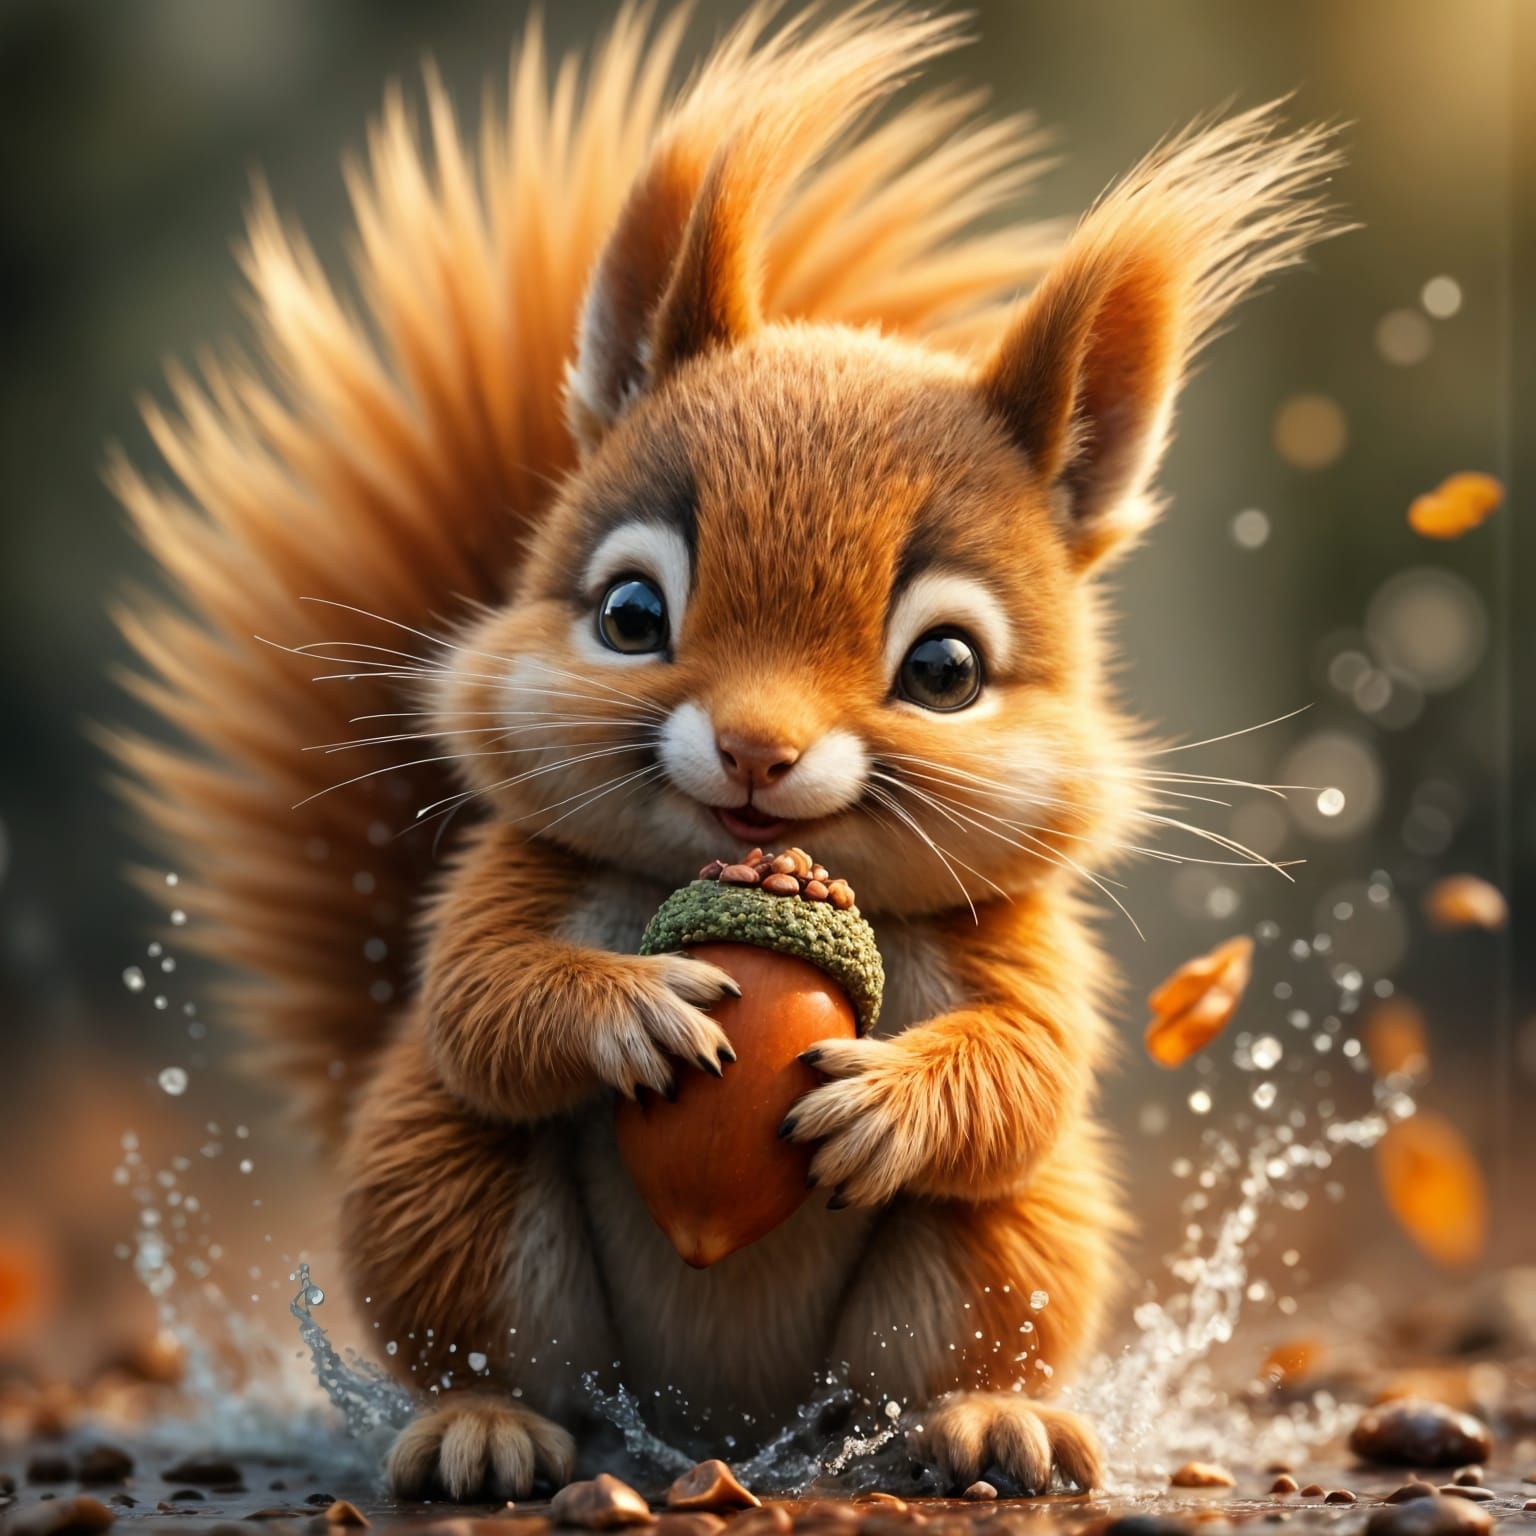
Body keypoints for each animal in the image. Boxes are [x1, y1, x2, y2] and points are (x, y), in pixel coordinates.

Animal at [110, 3, 1340, 1503]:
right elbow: (480, 998)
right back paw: (483, 1429)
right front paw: (626, 1010)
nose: (758, 748)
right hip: (450, 1202)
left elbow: (1029, 1065)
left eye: (948, 671)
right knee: (504, 1334)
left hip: (1000, 1253)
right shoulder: (510, 879)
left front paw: (896, 1099)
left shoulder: (1022, 939)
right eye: (630, 616)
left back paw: (988, 1426)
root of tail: (718, 1431)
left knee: (937, 1340)